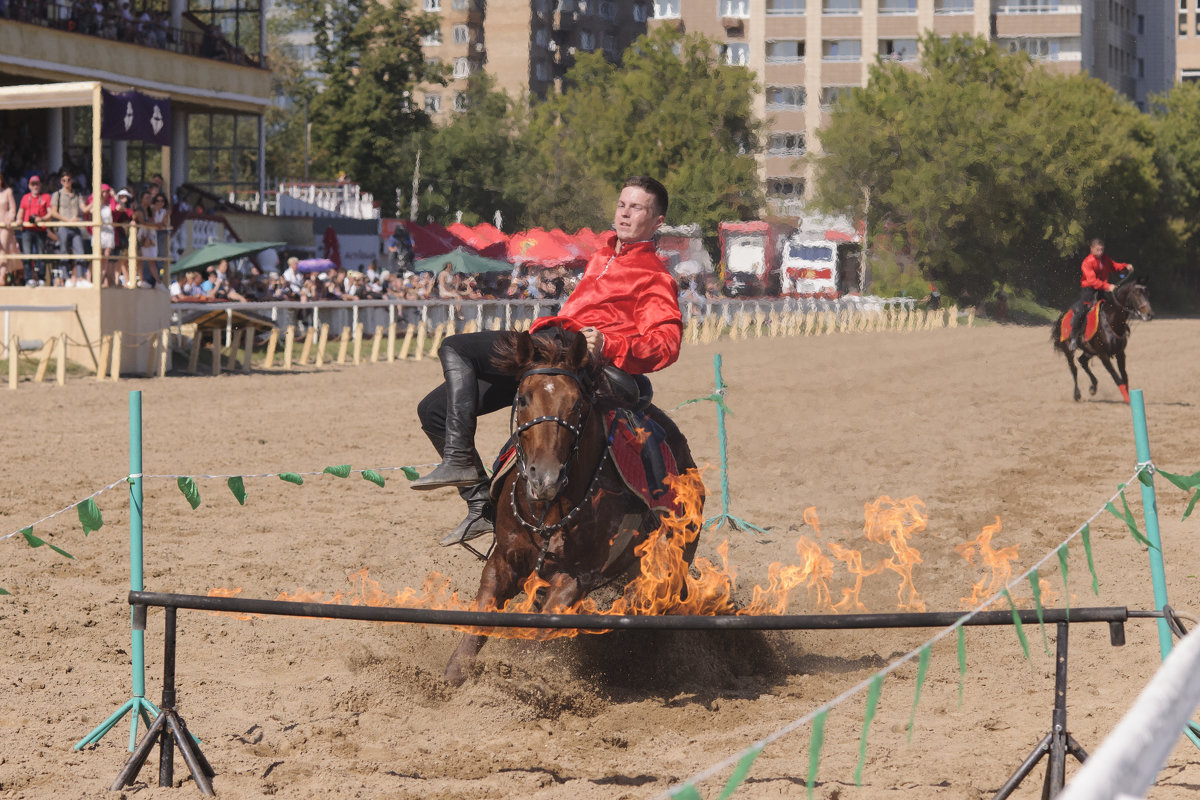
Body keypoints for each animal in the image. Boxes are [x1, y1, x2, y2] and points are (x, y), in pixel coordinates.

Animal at [444, 328, 700, 686]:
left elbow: (537, 635)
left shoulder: (576, 579)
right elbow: (477, 626)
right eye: (523, 398)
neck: (549, 509)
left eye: (577, 403)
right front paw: (454, 675)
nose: (545, 477)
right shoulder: (503, 561)